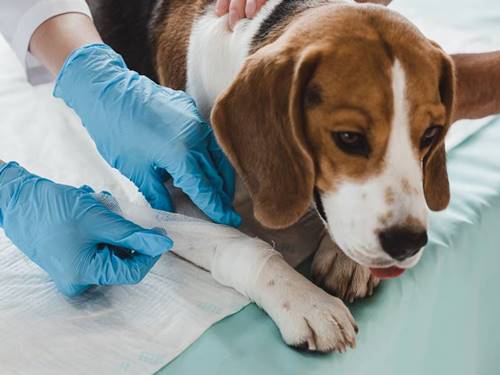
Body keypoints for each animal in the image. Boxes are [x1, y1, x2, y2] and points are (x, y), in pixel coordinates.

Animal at [88, 0, 456, 352]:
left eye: (430, 134)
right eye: (348, 138)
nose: (407, 243)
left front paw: (347, 257)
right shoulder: (165, 197)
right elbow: (239, 244)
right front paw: (306, 301)